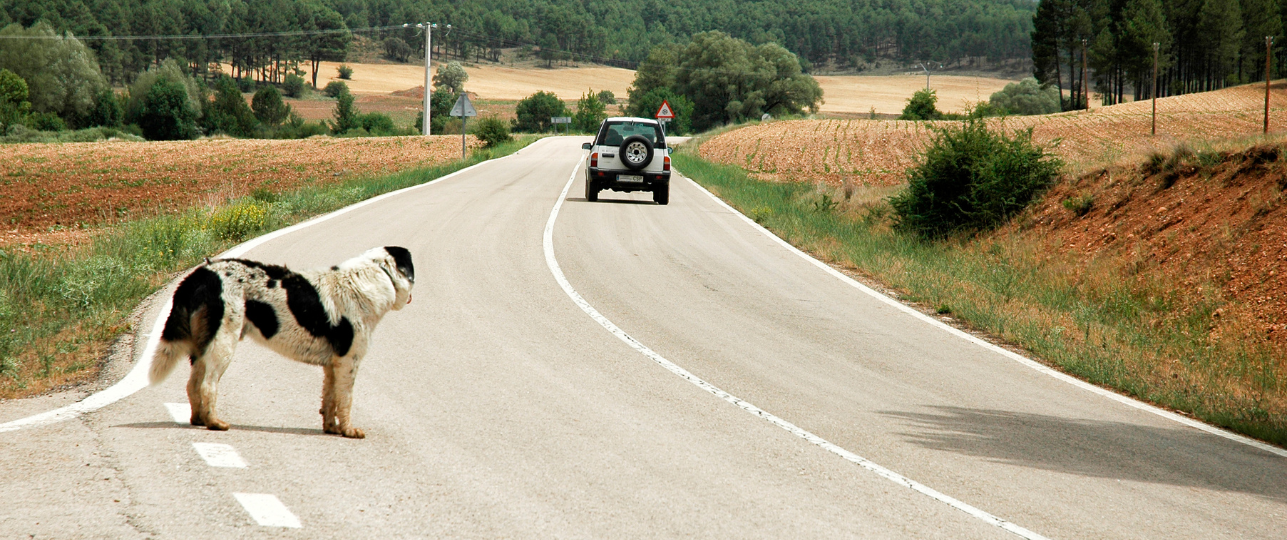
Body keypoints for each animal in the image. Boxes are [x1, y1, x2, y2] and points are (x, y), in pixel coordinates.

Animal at [148, 246, 414, 437]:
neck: (381, 274)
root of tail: (199, 274)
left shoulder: (332, 366)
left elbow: (330, 399)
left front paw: (332, 429)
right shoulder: (348, 362)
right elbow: (345, 400)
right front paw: (349, 431)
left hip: (204, 347)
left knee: (193, 384)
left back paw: (199, 420)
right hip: (223, 343)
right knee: (207, 385)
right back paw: (215, 423)